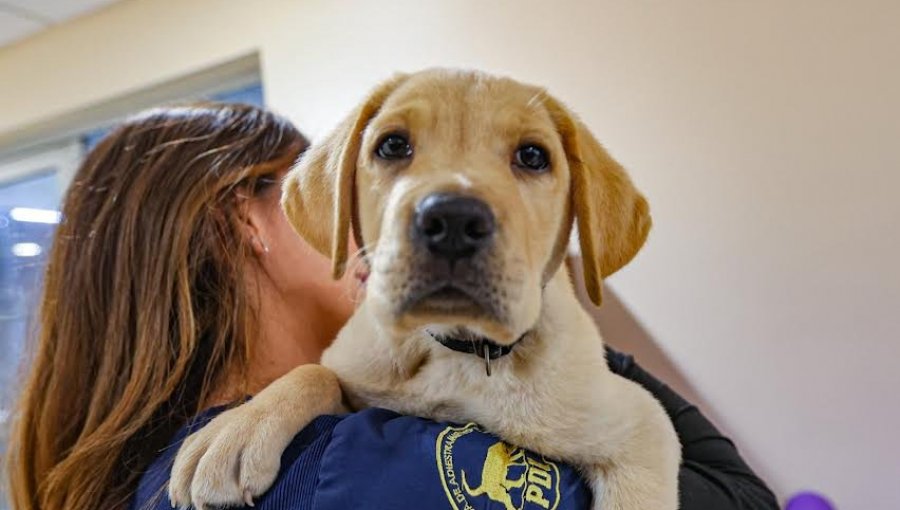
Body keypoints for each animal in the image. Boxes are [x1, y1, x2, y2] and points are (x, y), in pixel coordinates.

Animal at [169, 69, 680, 510]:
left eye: (533, 156)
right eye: (393, 145)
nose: (453, 220)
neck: (457, 352)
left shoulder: (642, 430)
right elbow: (315, 372)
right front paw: (238, 428)